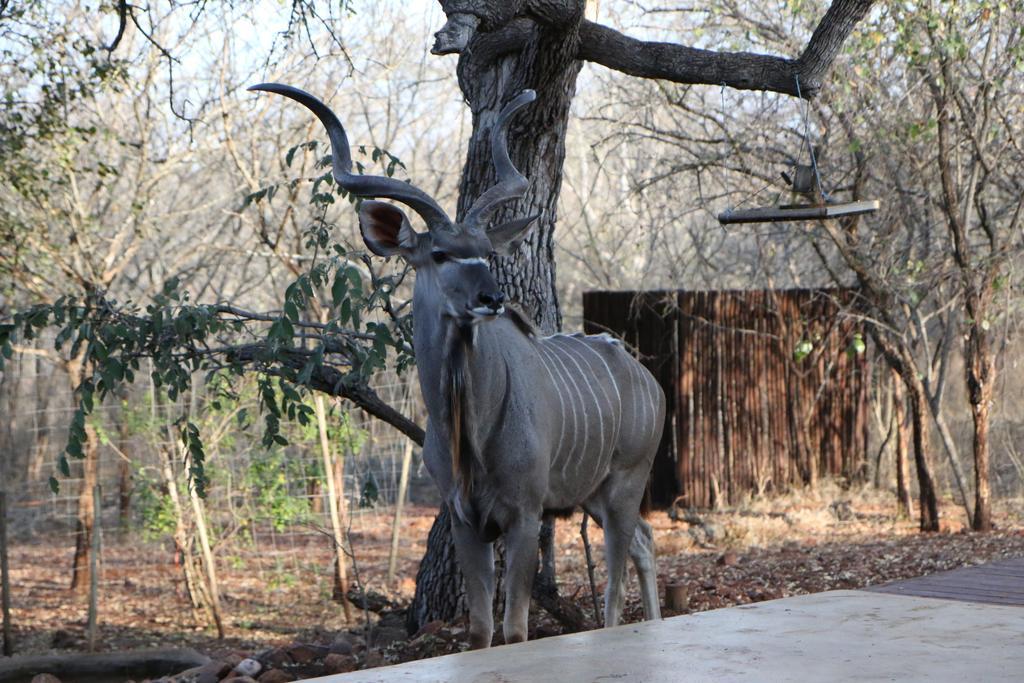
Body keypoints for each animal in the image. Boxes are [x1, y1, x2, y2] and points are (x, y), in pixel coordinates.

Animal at [247, 82, 663, 651]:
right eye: (441, 253)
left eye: (486, 251)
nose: (492, 297)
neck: (471, 429)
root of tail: (648, 379)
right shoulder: (467, 519)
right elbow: (482, 628)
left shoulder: (525, 515)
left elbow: (515, 629)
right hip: (595, 496)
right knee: (645, 540)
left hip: (623, 484)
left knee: (619, 578)